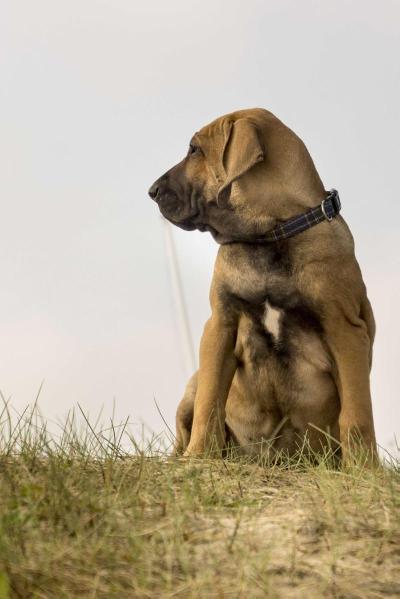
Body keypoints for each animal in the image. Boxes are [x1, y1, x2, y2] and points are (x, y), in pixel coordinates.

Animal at [148, 109, 376, 464]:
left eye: (195, 150)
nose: (152, 191)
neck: (270, 233)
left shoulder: (345, 330)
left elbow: (356, 411)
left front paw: (362, 468)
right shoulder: (220, 324)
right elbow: (209, 402)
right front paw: (199, 457)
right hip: (192, 383)